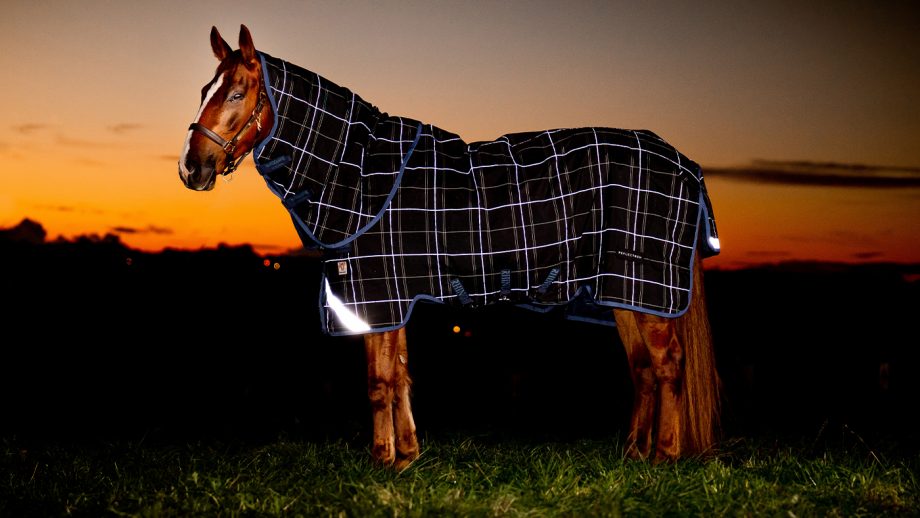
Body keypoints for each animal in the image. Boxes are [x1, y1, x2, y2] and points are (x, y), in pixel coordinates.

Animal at [179, 24, 722, 469]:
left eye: (235, 92)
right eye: (204, 90)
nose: (191, 167)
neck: (363, 173)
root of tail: (686, 165)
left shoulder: (376, 294)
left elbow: (378, 381)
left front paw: (383, 461)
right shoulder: (388, 294)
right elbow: (398, 374)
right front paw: (406, 456)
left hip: (645, 284)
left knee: (668, 366)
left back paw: (665, 457)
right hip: (623, 291)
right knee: (644, 369)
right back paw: (634, 454)